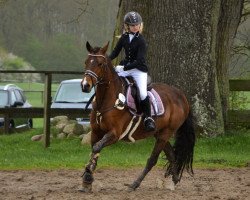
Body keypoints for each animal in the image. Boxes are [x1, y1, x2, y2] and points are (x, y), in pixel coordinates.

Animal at [80, 41, 195, 192]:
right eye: (86, 62)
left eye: (100, 63)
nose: (85, 86)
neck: (106, 100)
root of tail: (181, 96)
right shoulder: (96, 132)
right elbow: (94, 150)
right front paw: (87, 179)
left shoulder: (115, 134)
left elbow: (96, 148)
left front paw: (88, 175)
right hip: (160, 133)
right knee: (171, 154)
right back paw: (174, 180)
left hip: (166, 133)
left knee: (152, 160)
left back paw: (135, 184)